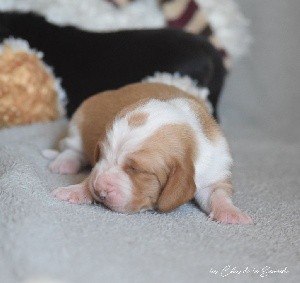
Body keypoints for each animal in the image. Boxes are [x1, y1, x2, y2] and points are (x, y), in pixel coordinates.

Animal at [43, 83, 252, 225]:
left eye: (136, 169)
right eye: (101, 154)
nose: (100, 190)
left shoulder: (214, 171)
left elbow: (217, 194)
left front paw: (231, 213)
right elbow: (90, 177)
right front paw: (74, 191)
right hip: (78, 125)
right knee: (71, 148)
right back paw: (64, 164)